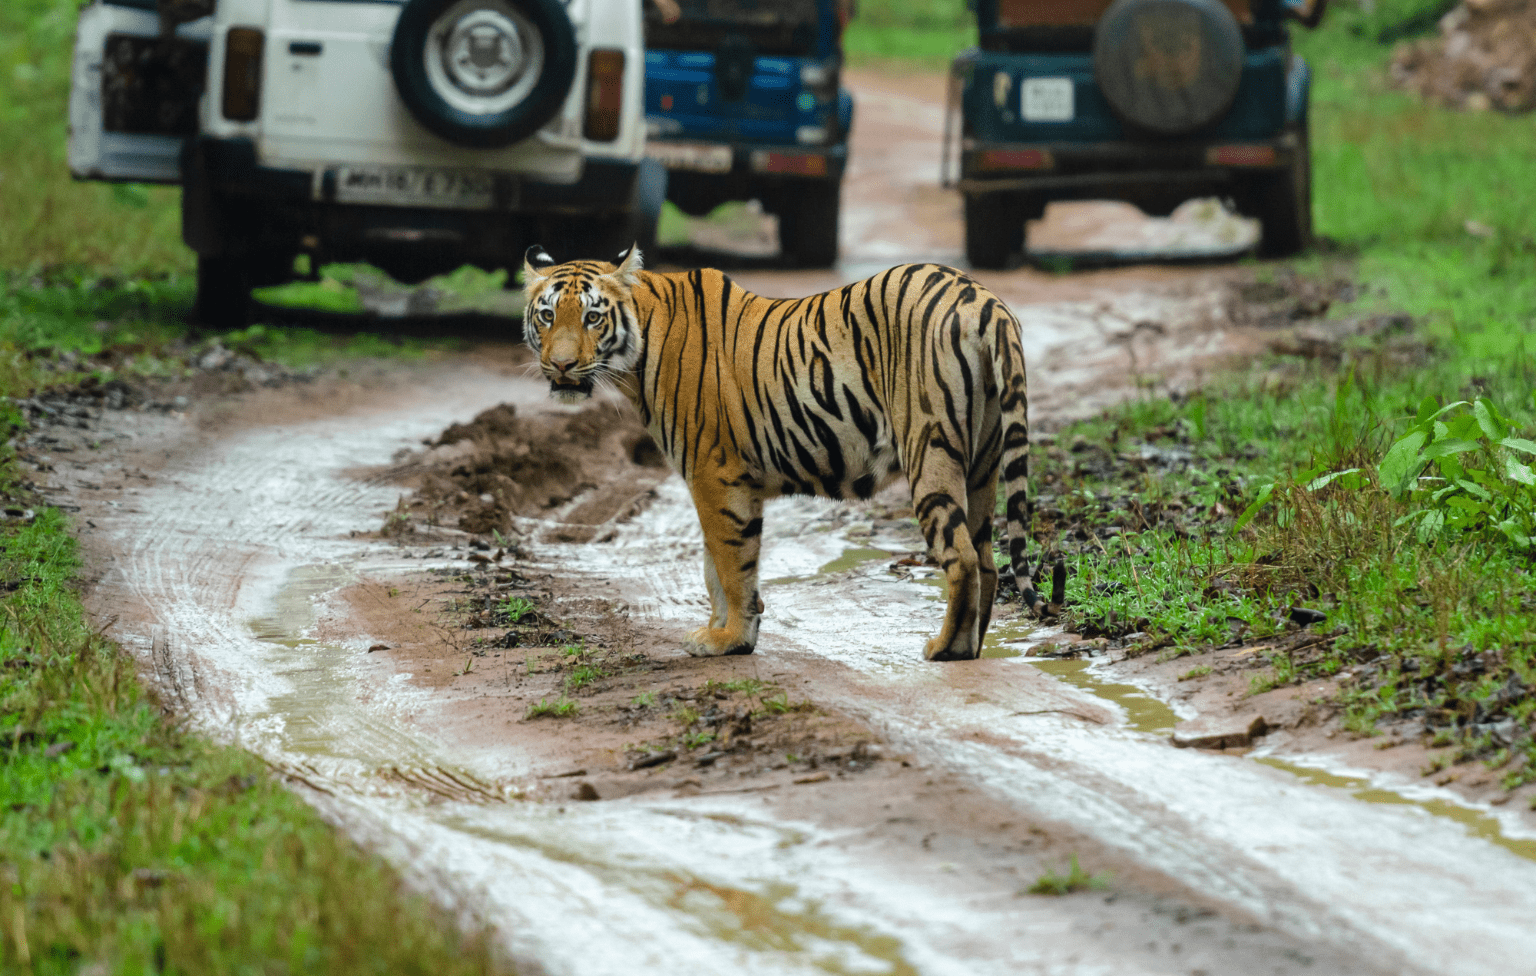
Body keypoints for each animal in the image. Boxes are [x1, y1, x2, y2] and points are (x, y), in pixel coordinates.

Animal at [521, 244, 1044, 661]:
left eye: (592, 317)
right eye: (547, 315)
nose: (561, 366)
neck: (638, 352)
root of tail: (983, 299)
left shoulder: (714, 474)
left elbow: (730, 564)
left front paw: (728, 638)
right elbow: (716, 567)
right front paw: (724, 632)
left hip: (930, 449)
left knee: (962, 556)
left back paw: (946, 649)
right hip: (983, 463)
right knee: (989, 559)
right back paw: (972, 645)